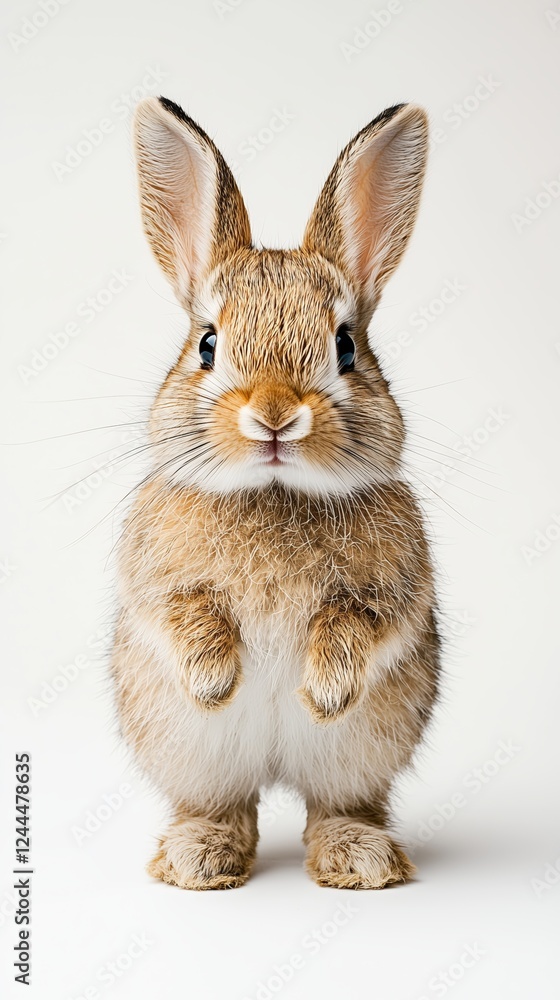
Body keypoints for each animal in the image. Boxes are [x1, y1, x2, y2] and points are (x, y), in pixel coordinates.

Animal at [110, 96, 440, 890]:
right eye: (207, 345)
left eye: (346, 347)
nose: (275, 413)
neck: (275, 492)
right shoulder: (157, 583)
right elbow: (186, 617)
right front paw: (215, 681)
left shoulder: (394, 593)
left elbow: (358, 627)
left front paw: (322, 693)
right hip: (195, 759)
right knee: (223, 805)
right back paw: (199, 858)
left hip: (360, 755)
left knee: (339, 804)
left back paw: (360, 858)